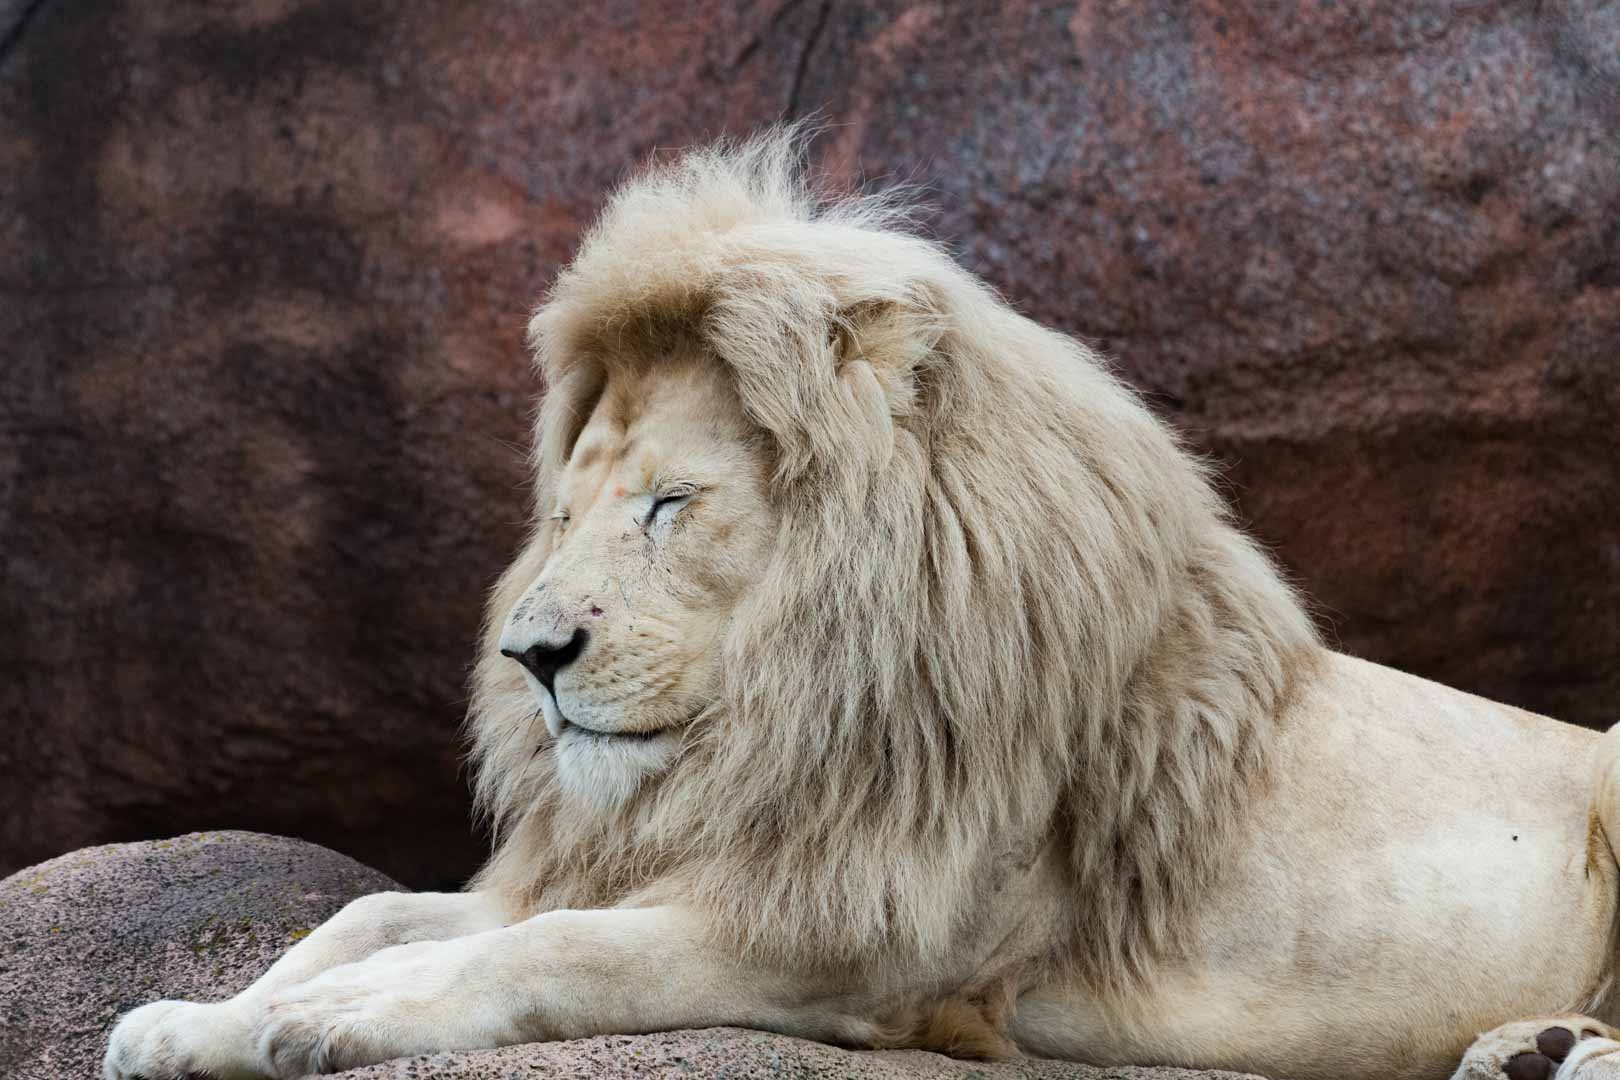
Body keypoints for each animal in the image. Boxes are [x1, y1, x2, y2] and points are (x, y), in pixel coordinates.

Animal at [105, 131, 1620, 1080]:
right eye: (565, 516)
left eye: (671, 506)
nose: (530, 655)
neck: (787, 719)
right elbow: (374, 914)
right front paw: (189, 1024)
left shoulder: (853, 944)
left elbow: (554, 950)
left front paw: (333, 1022)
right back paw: (1523, 1048)